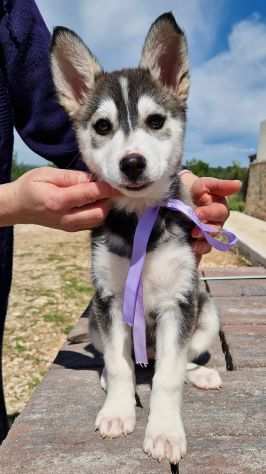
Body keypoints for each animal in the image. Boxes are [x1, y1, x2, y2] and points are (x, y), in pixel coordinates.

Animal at [51, 12, 221, 464]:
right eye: (103, 126)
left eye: (155, 121)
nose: (132, 162)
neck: (139, 221)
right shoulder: (109, 302)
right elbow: (120, 363)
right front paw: (117, 411)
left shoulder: (179, 303)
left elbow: (168, 376)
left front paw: (164, 431)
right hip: (96, 318)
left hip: (206, 315)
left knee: (175, 362)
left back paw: (202, 373)